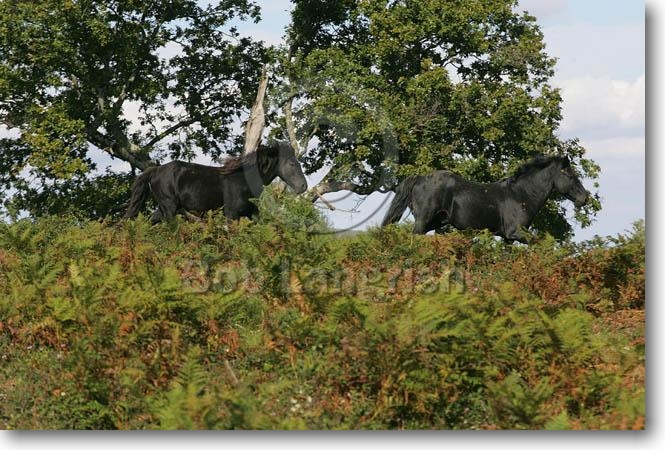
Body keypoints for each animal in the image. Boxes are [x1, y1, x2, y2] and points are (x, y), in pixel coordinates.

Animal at [123, 141, 308, 224]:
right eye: (292, 163)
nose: (303, 186)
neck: (243, 180)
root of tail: (155, 171)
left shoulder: (249, 213)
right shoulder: (231, 214)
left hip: (163, 209)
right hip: (169, 208)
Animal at [381, 154, 590, 242]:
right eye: (569, 175)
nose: (584, 198)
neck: (522, 195)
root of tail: (420, 178)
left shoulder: (508, 238)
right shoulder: (515, 232)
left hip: (435, 222)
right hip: (423, 220)